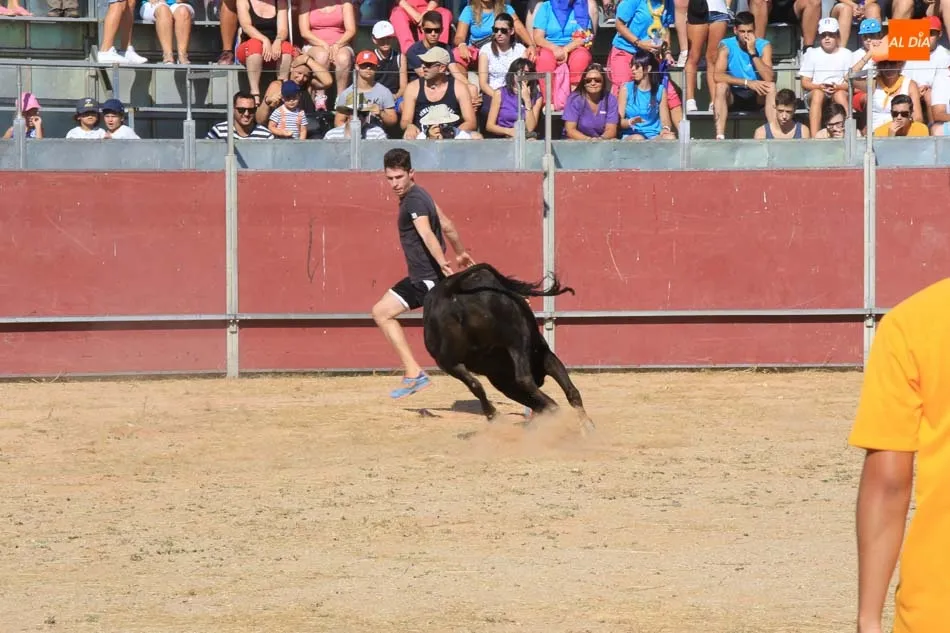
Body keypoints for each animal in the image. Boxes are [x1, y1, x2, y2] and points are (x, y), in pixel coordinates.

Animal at [422, 263, 593, 431]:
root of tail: (451, 290)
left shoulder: (501, 380)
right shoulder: (545, 355)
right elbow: (571, 391)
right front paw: (587, 426)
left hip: (447, 362)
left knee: (476, 385)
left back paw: (493, 415)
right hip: (516, 339)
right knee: (524, 379)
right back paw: (553, 407)